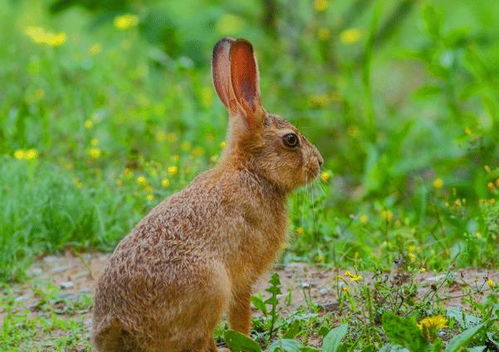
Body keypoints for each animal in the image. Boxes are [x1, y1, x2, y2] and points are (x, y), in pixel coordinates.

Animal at [92, 37, 324, 350]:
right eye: (291, 140)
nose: (319, 163)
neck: (252, 171)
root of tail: (123, 329)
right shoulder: (242, 279)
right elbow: (240, 317)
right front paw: (244, 341)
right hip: (212, 285)